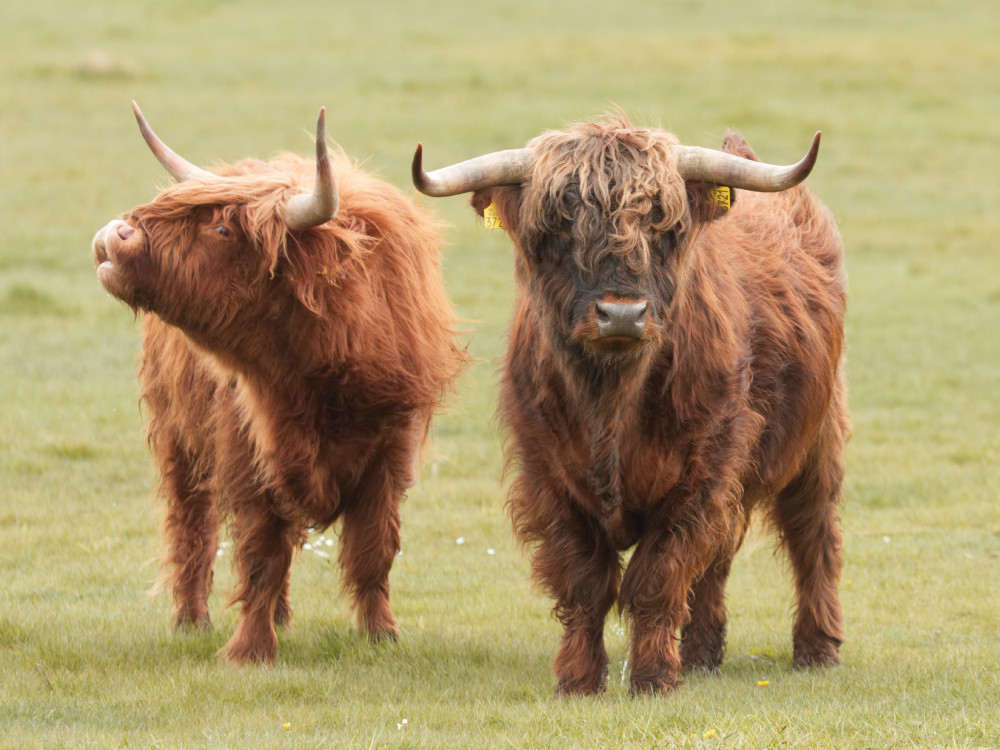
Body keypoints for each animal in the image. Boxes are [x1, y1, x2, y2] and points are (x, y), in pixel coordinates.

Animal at [92, 103, 466, 668]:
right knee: (191, 525)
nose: (115, 235)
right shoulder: (250, 453)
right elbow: (262, 554)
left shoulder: (391, 451)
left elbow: (374, 551)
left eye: (223, 229)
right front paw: (249, 649)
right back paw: (191, 619)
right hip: (179, 436)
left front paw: (381, 635)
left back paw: (283, 617)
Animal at [410, 117, 848, 700]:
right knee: (721, 557)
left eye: (664, 229)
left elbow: (657, 576)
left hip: (818, 439)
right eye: (559, 228)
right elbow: (585, 583)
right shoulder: (547, 477)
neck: (611, 403)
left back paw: (817, 650)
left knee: (813, 536)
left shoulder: (702, 472)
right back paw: (702, 655)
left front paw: (654, 678)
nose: (622, 314)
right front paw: (577, 681)